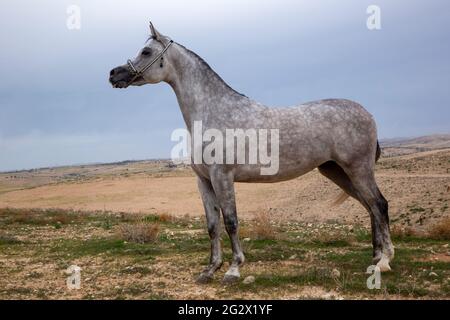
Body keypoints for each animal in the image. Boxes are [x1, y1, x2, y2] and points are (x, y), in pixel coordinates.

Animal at [109, 21, 394, 282]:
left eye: (146, 51)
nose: (114, 74)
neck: (214, 111)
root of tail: (367, 113)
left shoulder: (222, 177)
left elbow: (231, 221)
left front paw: (233, 269)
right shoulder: (204, 181)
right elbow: (212, 226)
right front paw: (210, 269)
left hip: (358, 168)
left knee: (379, 204)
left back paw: (384, 261)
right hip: (337, 171)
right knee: (369, 206)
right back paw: (375, 257)